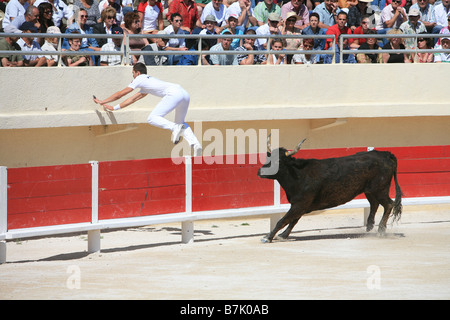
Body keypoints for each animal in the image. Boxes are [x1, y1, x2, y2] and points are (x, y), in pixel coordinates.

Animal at [258, 139, 402, 242]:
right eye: (268, 158)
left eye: (278, 161)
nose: (260, 171)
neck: (298, 175)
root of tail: (386, 154)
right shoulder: (301, 205)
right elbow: (293, 220)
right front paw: (282, 235)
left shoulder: (300, 204)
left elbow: (283, 220)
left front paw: (268, 237)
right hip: (370, 190)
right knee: (374, 203)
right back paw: (369, 226)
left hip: (380, 189)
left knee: (389, 204)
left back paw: (381, 231)